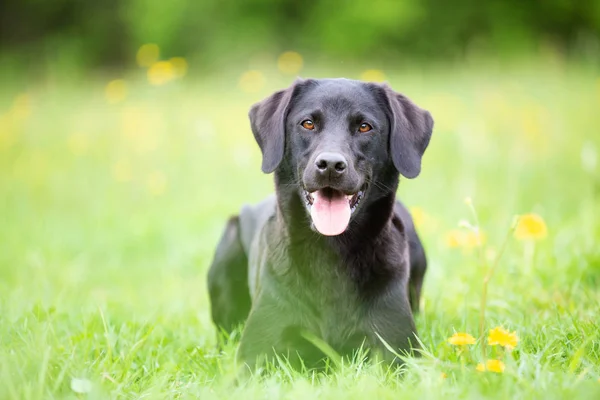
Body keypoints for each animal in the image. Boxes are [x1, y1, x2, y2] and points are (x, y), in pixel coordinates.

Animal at [206, 78, 432, 368]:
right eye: (308, 123)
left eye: (364, 126)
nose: (331, 165)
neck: (330, 252)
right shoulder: (255, 354)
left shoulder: (398, 352)